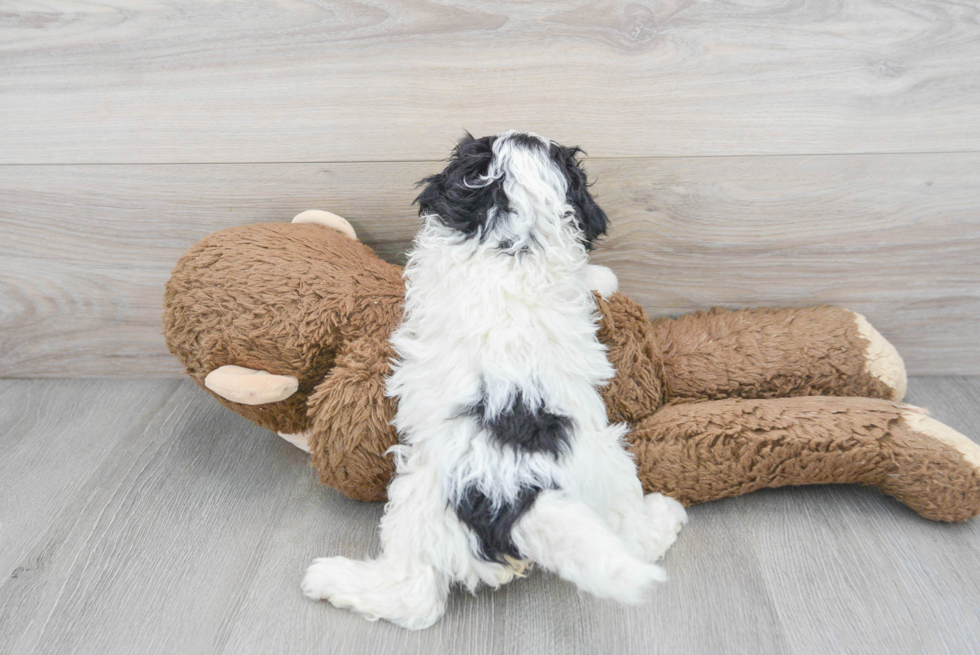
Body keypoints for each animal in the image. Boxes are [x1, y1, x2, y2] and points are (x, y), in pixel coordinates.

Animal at [302, 129, 684, 632]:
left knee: (414, 596)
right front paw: (602, 277)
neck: (513, 246)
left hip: (419, 496)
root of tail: (522, 492)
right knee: (633, 537)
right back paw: (666, 516)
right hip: (608, 463)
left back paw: (330, 580)